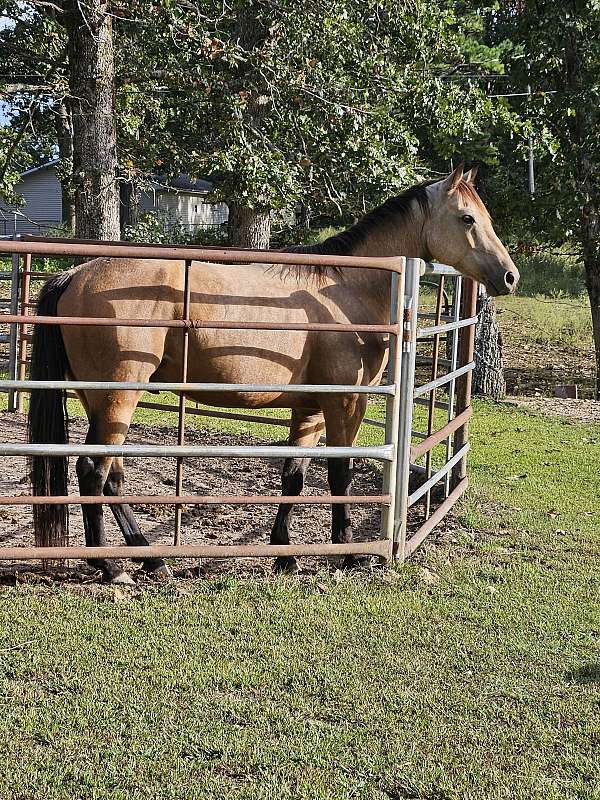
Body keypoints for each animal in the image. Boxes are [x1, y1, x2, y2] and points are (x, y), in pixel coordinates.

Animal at [27, 167, 516, 580]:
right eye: (467, 218)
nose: (509, 277)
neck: (346, 290)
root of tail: (74, 274)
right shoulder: (345, 404)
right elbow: (341, 474)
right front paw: (349, 552)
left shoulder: (310, 410)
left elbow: (294, 476)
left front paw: (285, 553)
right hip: (118, 396)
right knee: (93, 470)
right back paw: (109, 566)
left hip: (102, 401)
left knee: (112, 476)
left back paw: (150, 557)